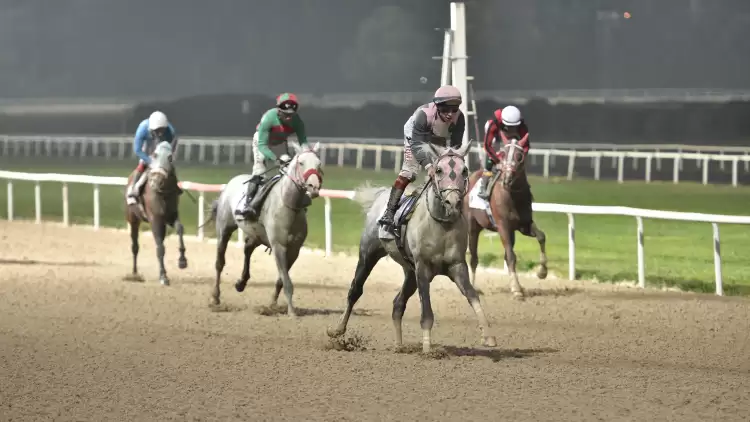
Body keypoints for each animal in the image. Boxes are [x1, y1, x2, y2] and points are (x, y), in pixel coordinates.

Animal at [124, 142, 187, 286]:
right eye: (154, 155)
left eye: (170, 157)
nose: (156, 181)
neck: (162, 192)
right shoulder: (155, 219)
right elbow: (160, 248)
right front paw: (163, 276)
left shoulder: (171, 215)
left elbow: (180, 229)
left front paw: (182, 260)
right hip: (133, 219)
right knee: (135, 246)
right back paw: (134, 273)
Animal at [209, 142, 324, 316]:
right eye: (301, 163)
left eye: (319, 164)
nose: (314, 186)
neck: (289, 205)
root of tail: (231, 182)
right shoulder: (279, 246)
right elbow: (287, 281)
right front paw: (292, 312)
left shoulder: (294, 249)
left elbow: (281, 280)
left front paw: (272, 305)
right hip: (224, 228)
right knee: (219, 262)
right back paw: (216, 297)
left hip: (258, 234)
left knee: (247, 248)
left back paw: (241, 283)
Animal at [328, 138, 500, 352]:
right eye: (439, 170)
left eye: (465, 170)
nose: (452, 202)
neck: (442, 224)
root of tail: (381, 195)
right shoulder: (423, 268)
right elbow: (426, 310)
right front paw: (427, 348)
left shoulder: (457, 266)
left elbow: (473, 296)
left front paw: (488, 336)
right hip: (368, 254)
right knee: (355, 290)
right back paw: (338, 330)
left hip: (409, 272)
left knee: (398, 303)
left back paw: (399, 345)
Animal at [468, 132, 548, 300]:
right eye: (503, 154)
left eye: (519, 156)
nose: (507, 178)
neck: (513, 196)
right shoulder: (503, 226)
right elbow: (511, 256)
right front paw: (516, 289)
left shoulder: (524, 224)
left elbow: (541, 236)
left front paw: (542, 272)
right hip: (472, 226)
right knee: (473, 258)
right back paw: (473, 286)